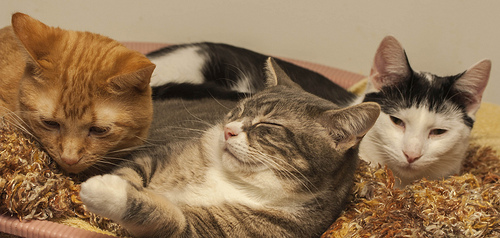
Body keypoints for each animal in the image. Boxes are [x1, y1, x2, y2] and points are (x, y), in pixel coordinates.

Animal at [80, 58, 380, 238]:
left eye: (268, 124)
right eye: (239, 110)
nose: (228, 130)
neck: (232, 180)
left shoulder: (207, 232)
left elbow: (165, 217)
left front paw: (105, 191)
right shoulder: (158, 156)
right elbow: (133, 170)